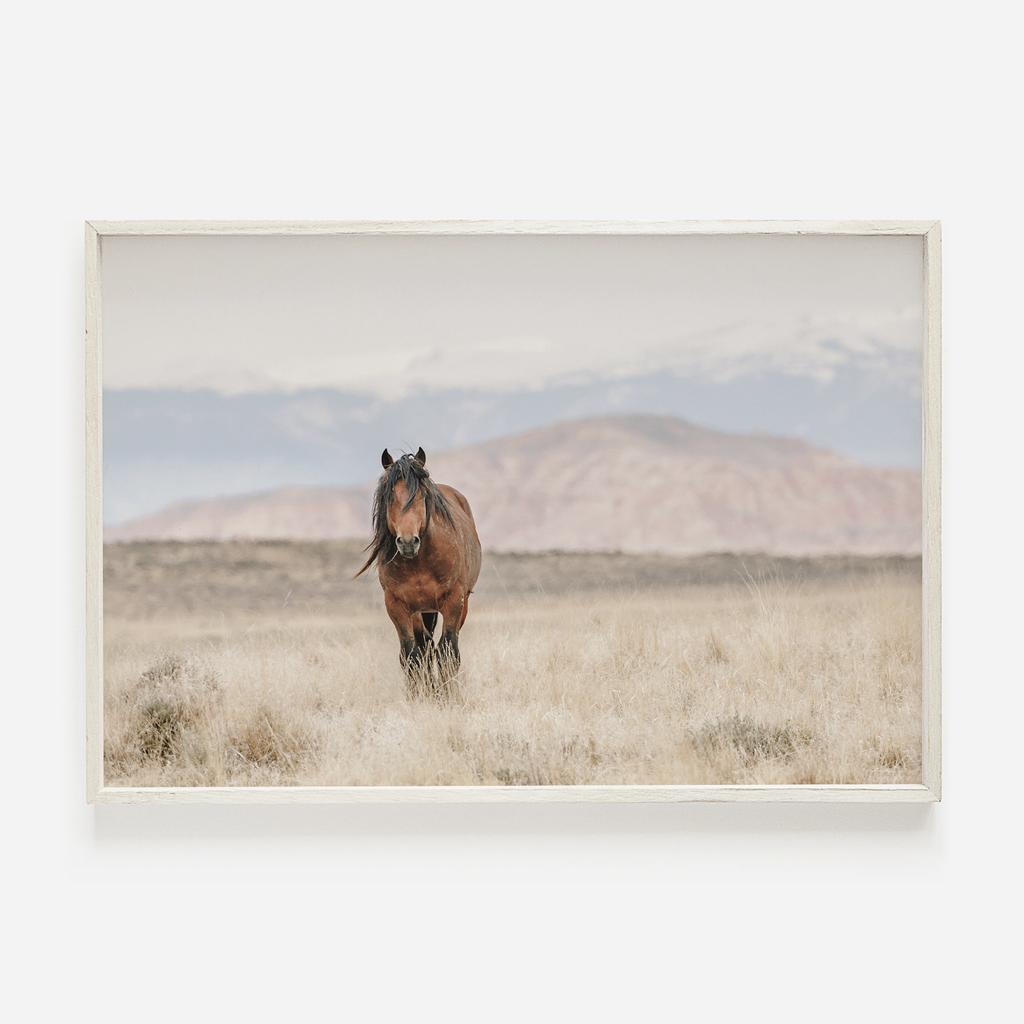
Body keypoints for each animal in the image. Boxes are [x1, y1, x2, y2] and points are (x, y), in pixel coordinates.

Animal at [355, 447, 482, 695]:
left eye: (422, 496)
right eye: (390, 496)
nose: (407, 542)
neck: (420, 562)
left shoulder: (454, 600)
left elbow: (448, 652)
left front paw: (447, 696)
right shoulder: (397, 605)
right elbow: (411, 655)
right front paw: (419, 696)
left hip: (457, 606)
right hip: (422, 611)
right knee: (424, 648)